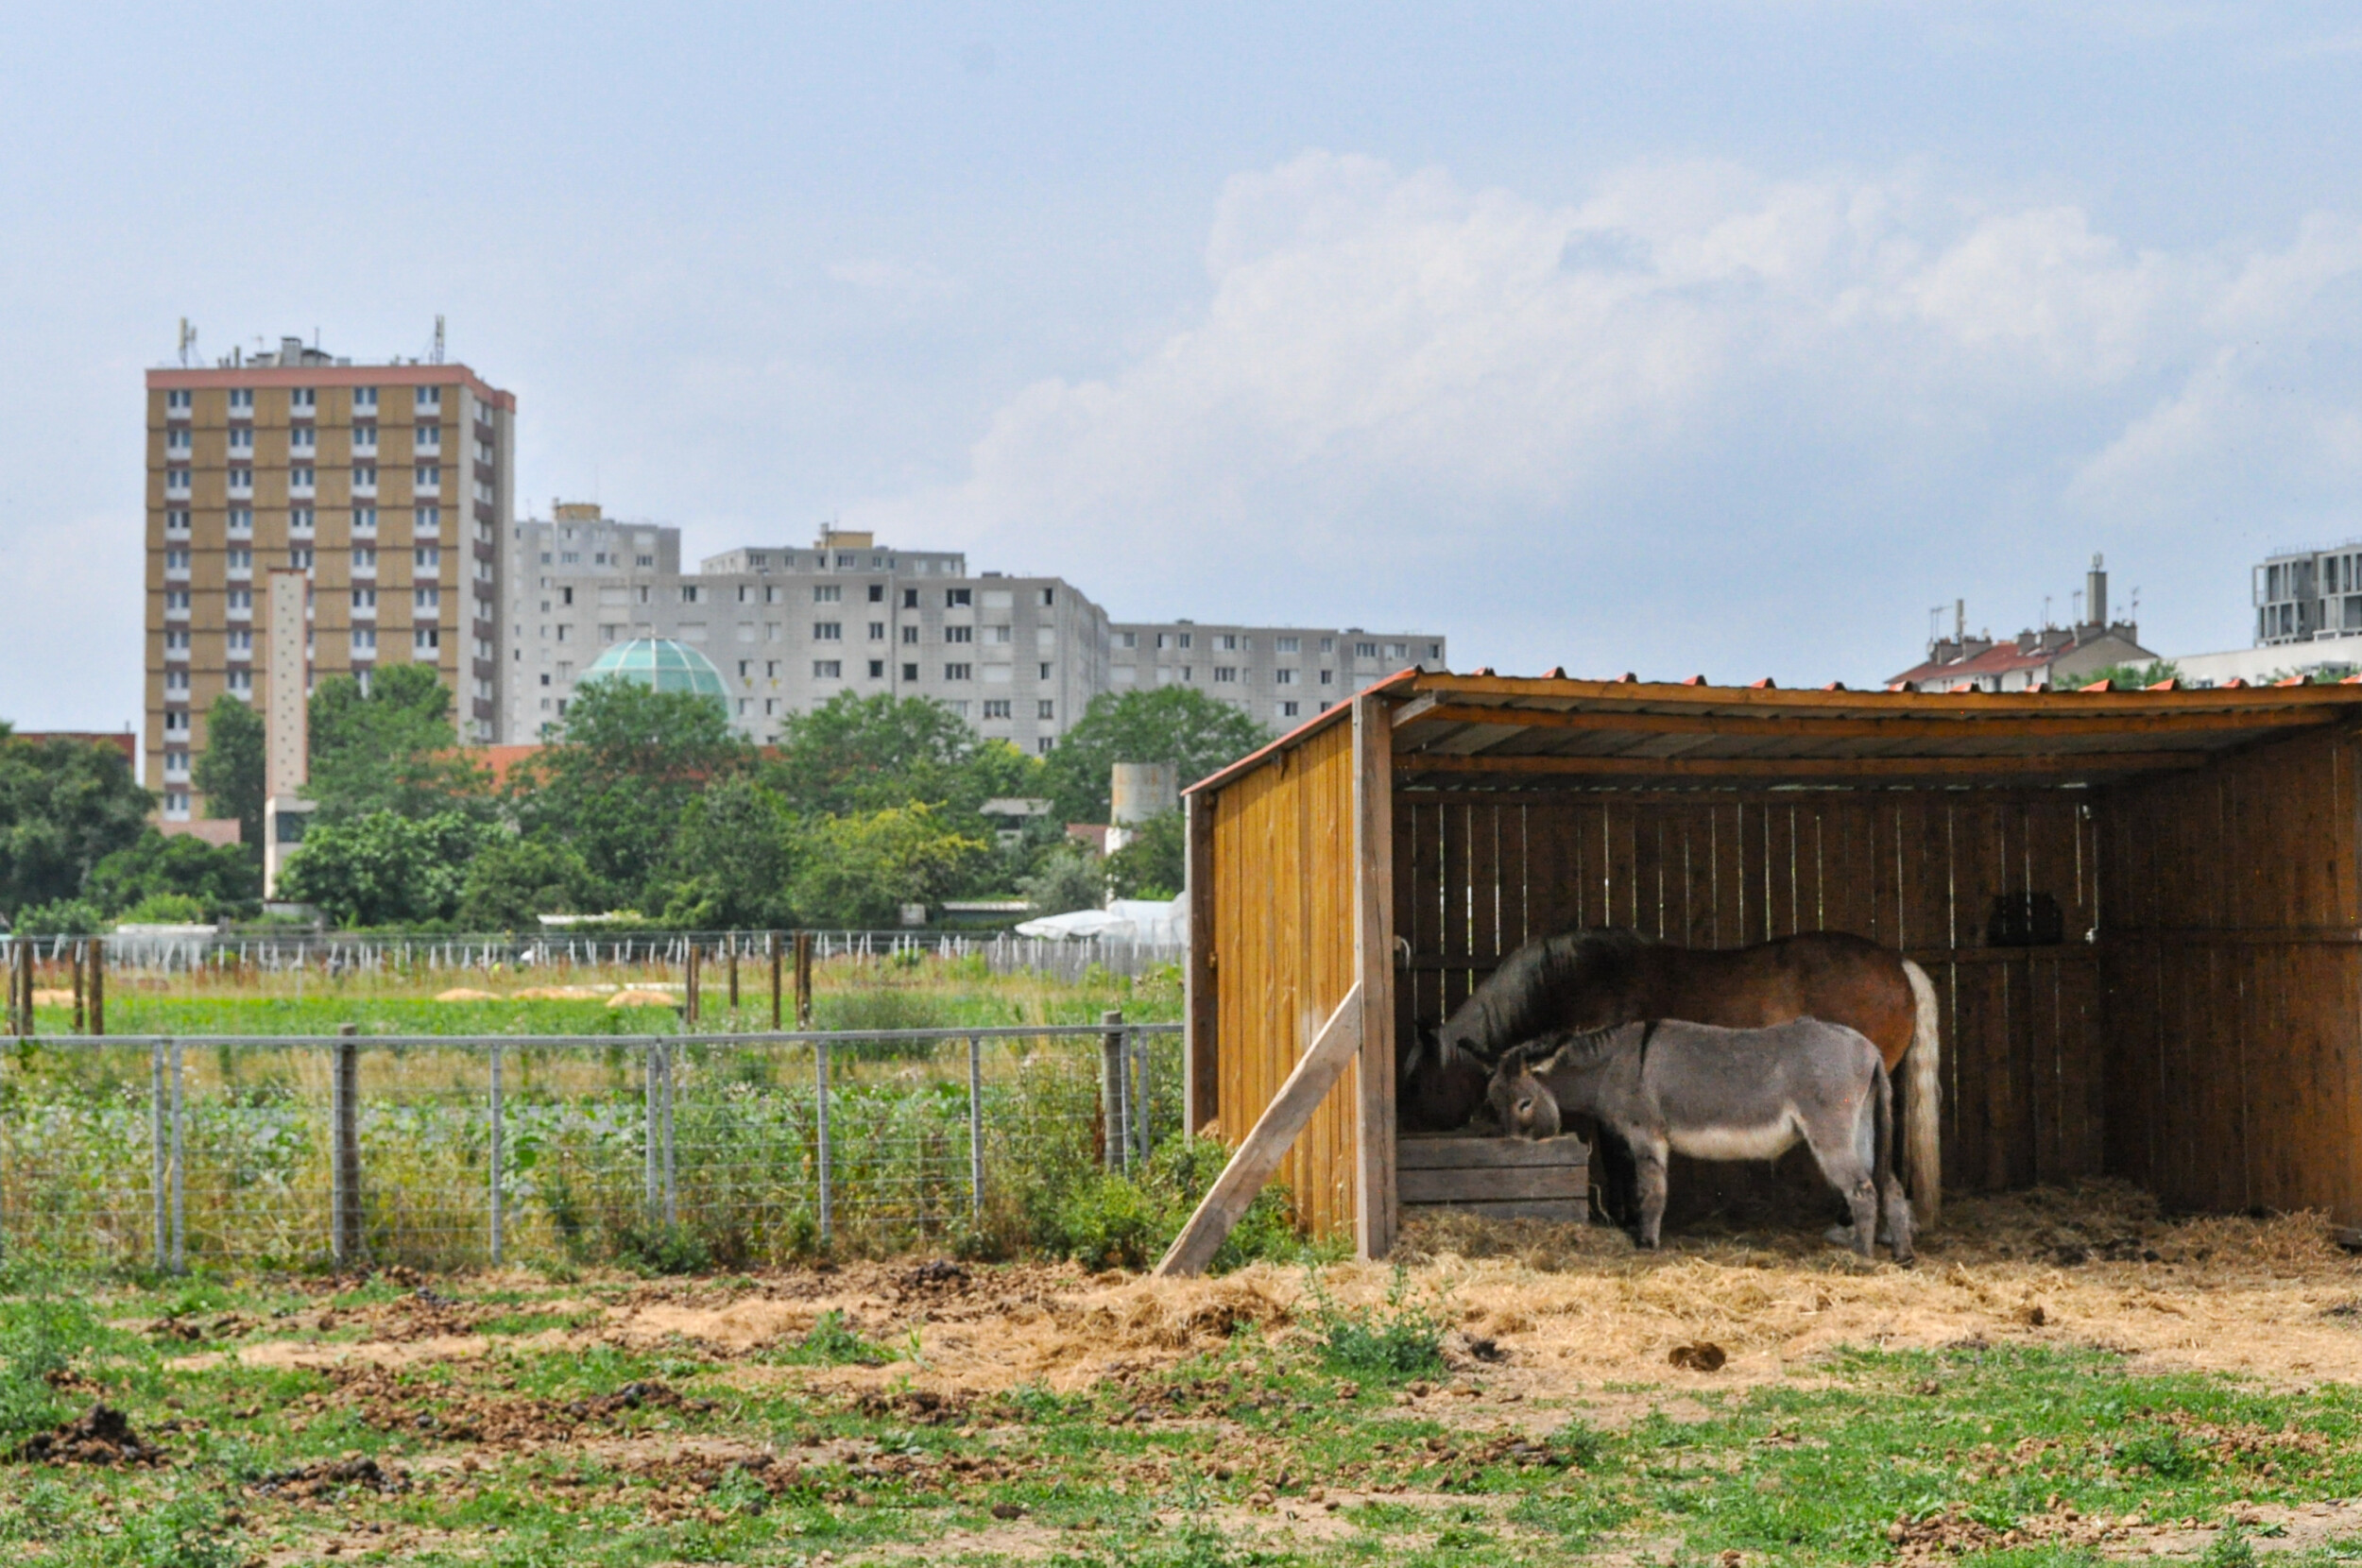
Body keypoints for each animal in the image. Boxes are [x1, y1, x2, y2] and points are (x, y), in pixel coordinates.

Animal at [1398, 930, 1937, 1228]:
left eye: (1415, 1083)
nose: (1401, 1128)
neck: (1578, 980)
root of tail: (1897, 962)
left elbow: (1617, 1158)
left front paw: (1625, 1218)